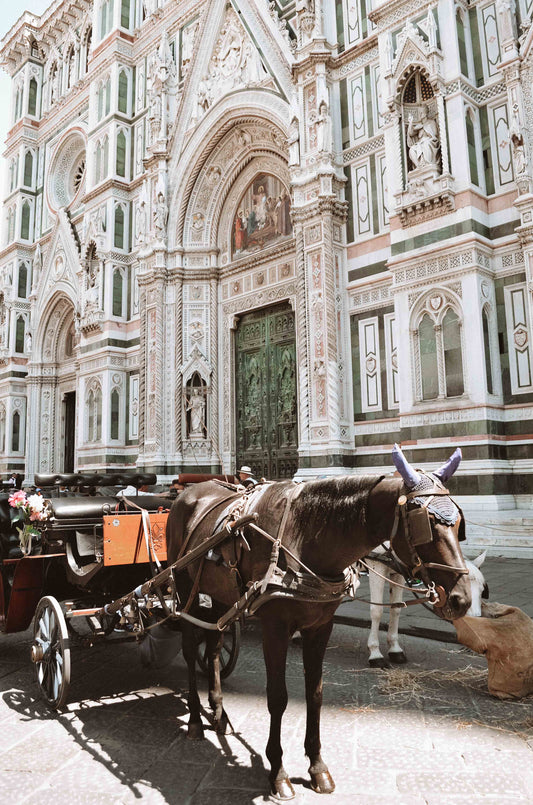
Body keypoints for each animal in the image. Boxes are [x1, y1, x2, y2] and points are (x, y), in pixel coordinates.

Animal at [166, 446, 470, 796]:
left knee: (214, 648)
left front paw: (317, 767)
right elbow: (278, 697)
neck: (305, 538)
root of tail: (189, 490)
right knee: (191, 649)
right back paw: (194, 721)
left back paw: (219, 715)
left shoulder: (321, 626)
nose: (462, 598)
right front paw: (278, 771)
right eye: (427, 524)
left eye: (459, 523)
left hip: (221, 596)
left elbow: (315, 694)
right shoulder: (275, 628)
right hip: (185, 587)